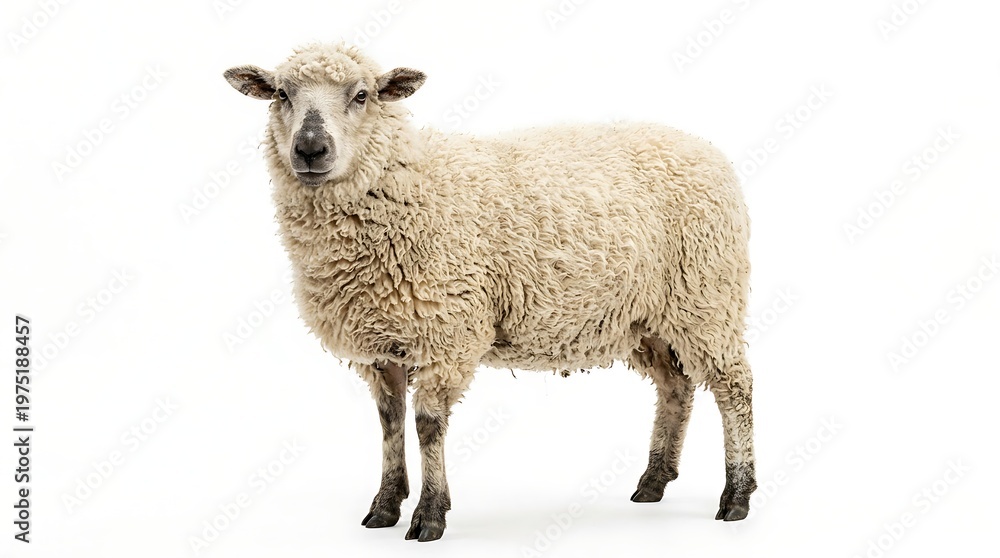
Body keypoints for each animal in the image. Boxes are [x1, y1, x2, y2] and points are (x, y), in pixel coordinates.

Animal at [224, 42, 756, 542]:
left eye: (362, 96)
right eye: (281, 94)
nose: (310, 148)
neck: (408, 184)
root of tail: (705, 151)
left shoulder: (446, 332)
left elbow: (427, 425)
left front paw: (430, 515)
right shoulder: (381, 344)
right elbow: (390, 421)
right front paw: (385, 505)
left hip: (707, 298)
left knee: (735, 388)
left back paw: (736, 495)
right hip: (649, 317)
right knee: (676, 387)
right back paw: (654, 481)